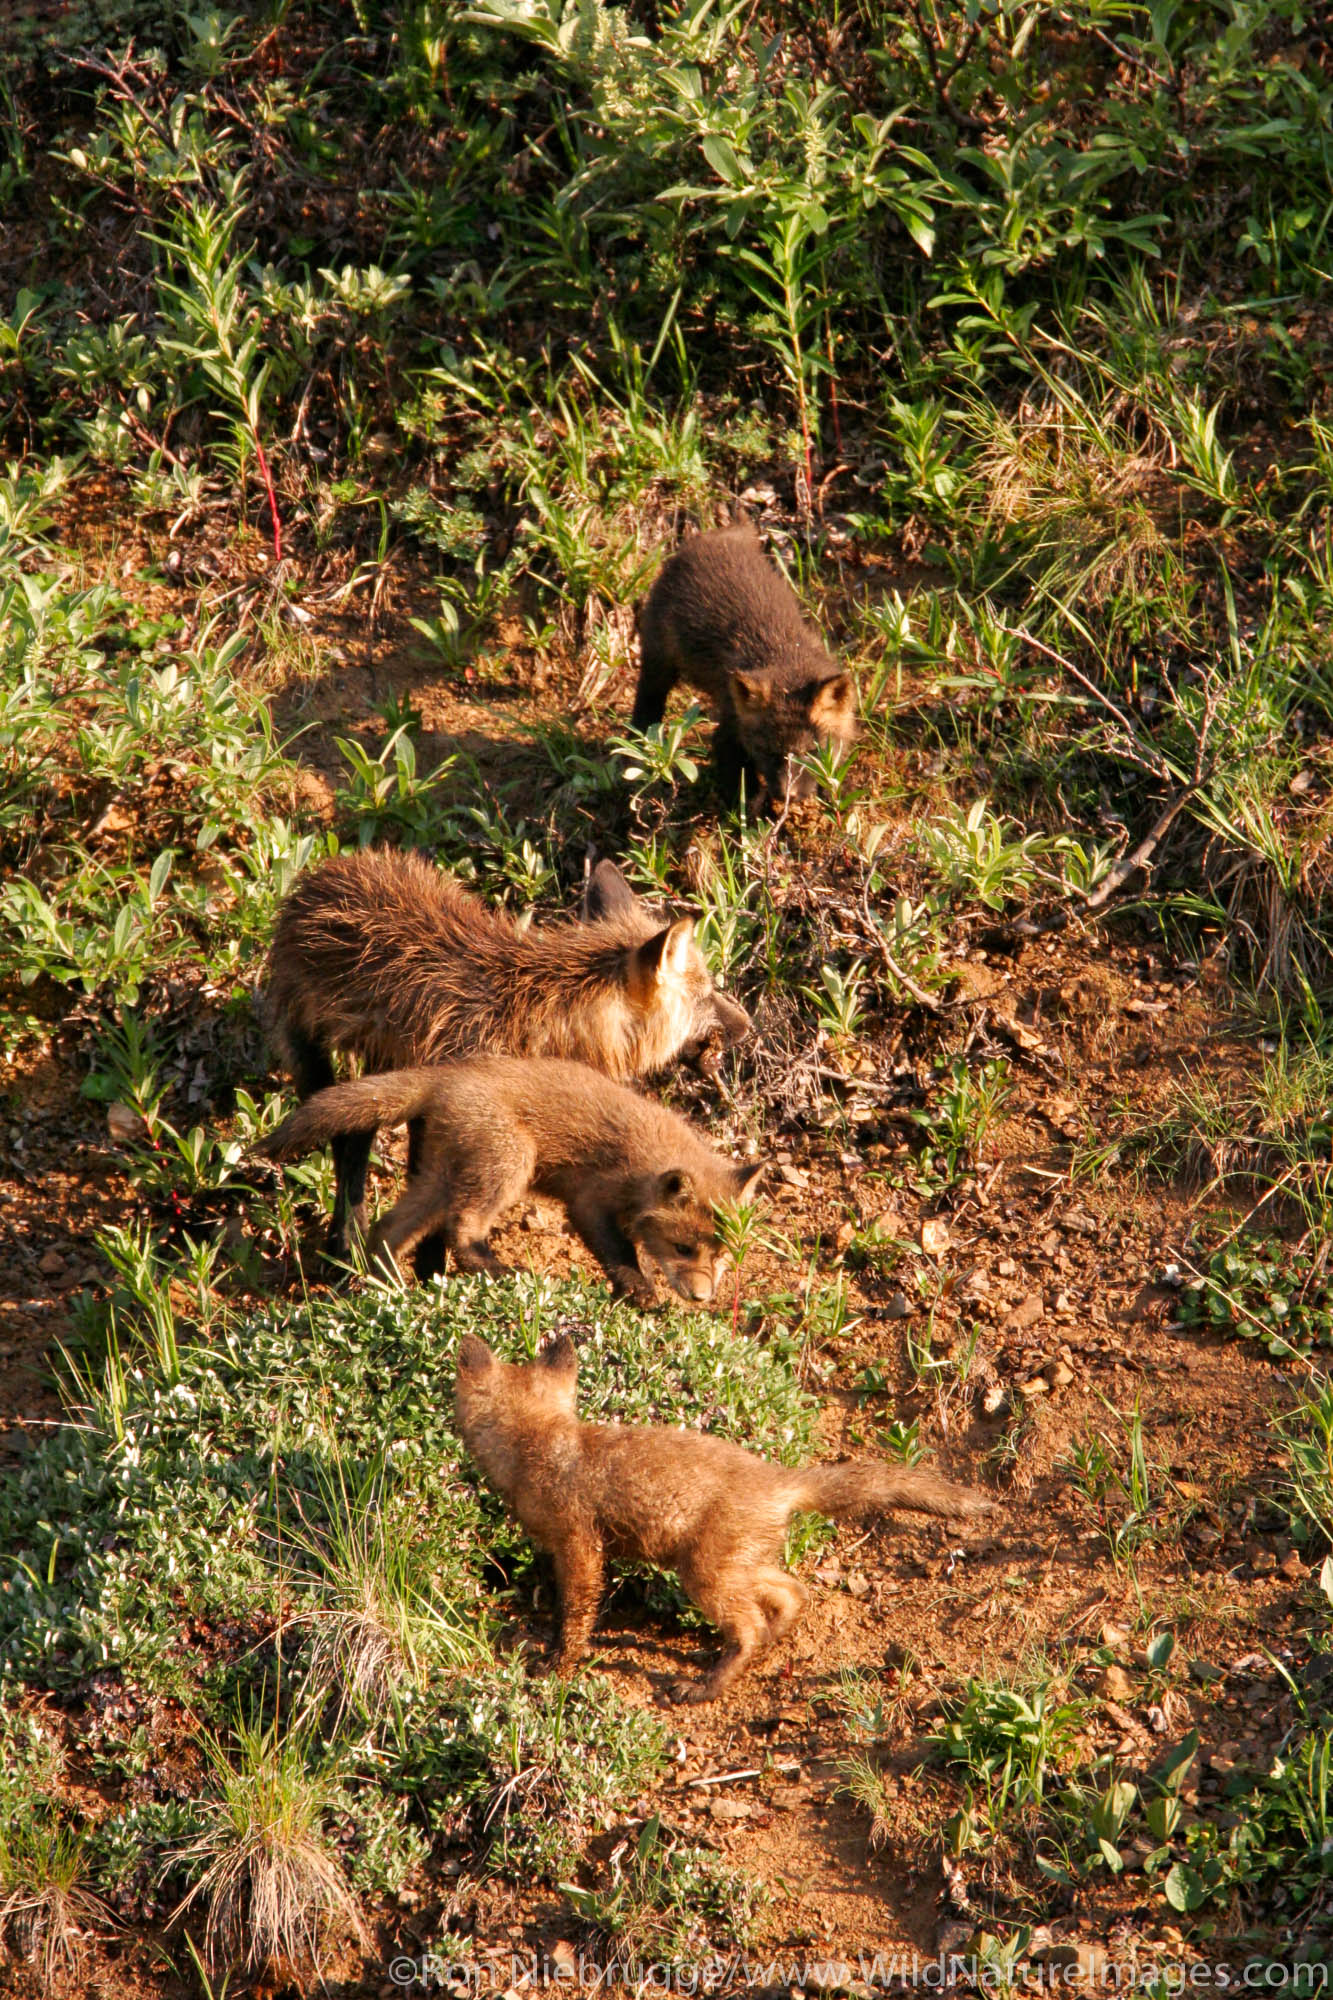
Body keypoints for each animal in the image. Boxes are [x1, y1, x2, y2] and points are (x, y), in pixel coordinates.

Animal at [255, 1056, 764, 1304]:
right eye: (683, 1248)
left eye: (722, 1256)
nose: (701, 1297)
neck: (643, 1162)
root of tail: (447, 1076)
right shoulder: (589, 1201)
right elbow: (619, 1254)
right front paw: (639, 1291)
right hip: (510, 1160)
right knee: (462, 1233)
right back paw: (500, 1271)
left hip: (442, 1177)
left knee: (388, 1230)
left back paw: (385, 1284)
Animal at [262, 852, 748, 1256]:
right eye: (705, 996)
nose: (747, 1027)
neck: (535, 1017)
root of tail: (326, 870)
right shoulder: (453, 1112)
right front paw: (430, 1279)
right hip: (314, 1055)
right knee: (343, 1145)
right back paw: (347, 1236)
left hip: (384, 1063)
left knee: (356, 1138)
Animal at [452, 1328, 992, 1704]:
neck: (540, 1445)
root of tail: (778, 1479)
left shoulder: (580, 1545)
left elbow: (577, 1615)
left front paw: (557, 1668)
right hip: (737, 1563)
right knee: (792, 1593)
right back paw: (761, 1646)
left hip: (703, 1573)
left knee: (750, 1624)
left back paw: (702, 1686)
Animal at [632, 524, 856, 804]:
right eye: (767, 751)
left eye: (813, 751)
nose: (787, 795)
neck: (783, 650)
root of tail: (720, 534)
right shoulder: (729, 729)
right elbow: (744, 789)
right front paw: (757, 811)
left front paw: (835, 795)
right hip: (659, 657)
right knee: (648, 696)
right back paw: (639, 740)